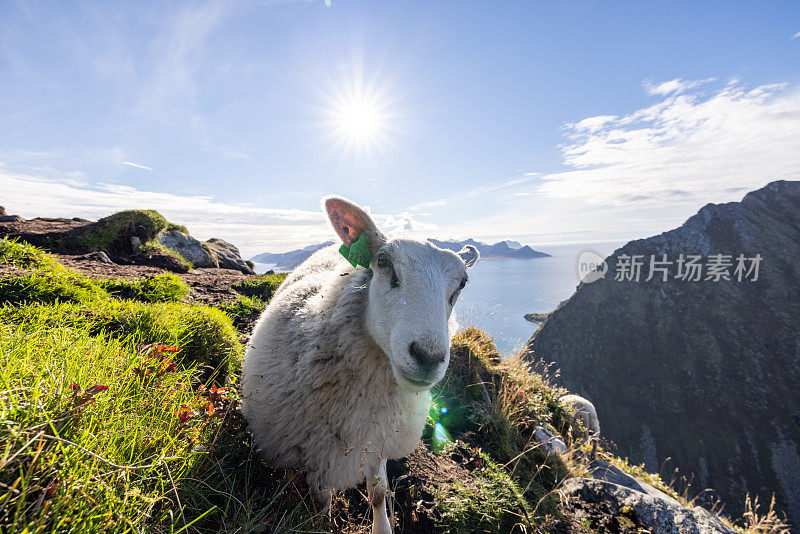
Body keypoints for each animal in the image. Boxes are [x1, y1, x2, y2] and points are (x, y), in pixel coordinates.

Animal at [241, 198, 478, 534]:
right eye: (383, 261)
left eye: (462, 283)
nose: (428, 357)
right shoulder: (317, 451)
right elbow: (320, 497)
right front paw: (323, 524)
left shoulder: (376, 439)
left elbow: (378, 491)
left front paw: (382, 526)